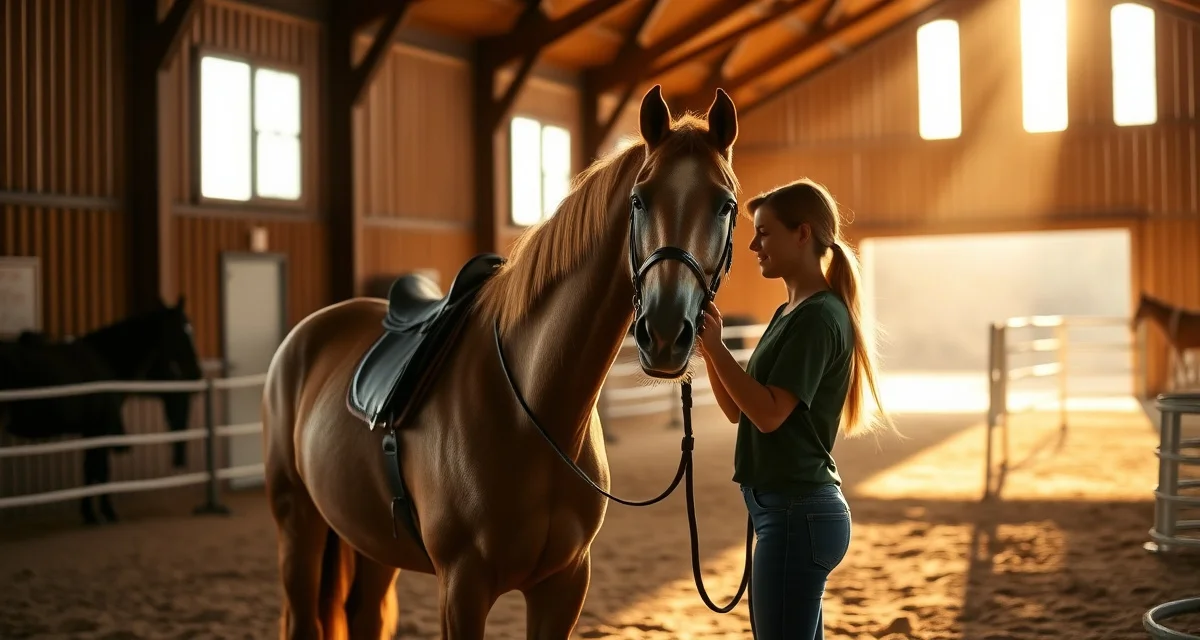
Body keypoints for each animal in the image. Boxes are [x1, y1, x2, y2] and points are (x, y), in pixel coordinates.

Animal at [0, 297, 203, 524]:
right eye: (182, 330)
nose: (197, 373)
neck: (106, 359)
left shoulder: (91, 430)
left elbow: (91, 469)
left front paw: (90, 513)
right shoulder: (101, 429)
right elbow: (101, 469)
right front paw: (105, 512)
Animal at [262, 85, 743, 639]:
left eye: (726, 205)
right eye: (638, 200)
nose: (664, 333)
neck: (535, 413)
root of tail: (306, 335)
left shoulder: (563, 585)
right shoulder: (462, 587)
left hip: (373, 545)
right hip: (298, 525)